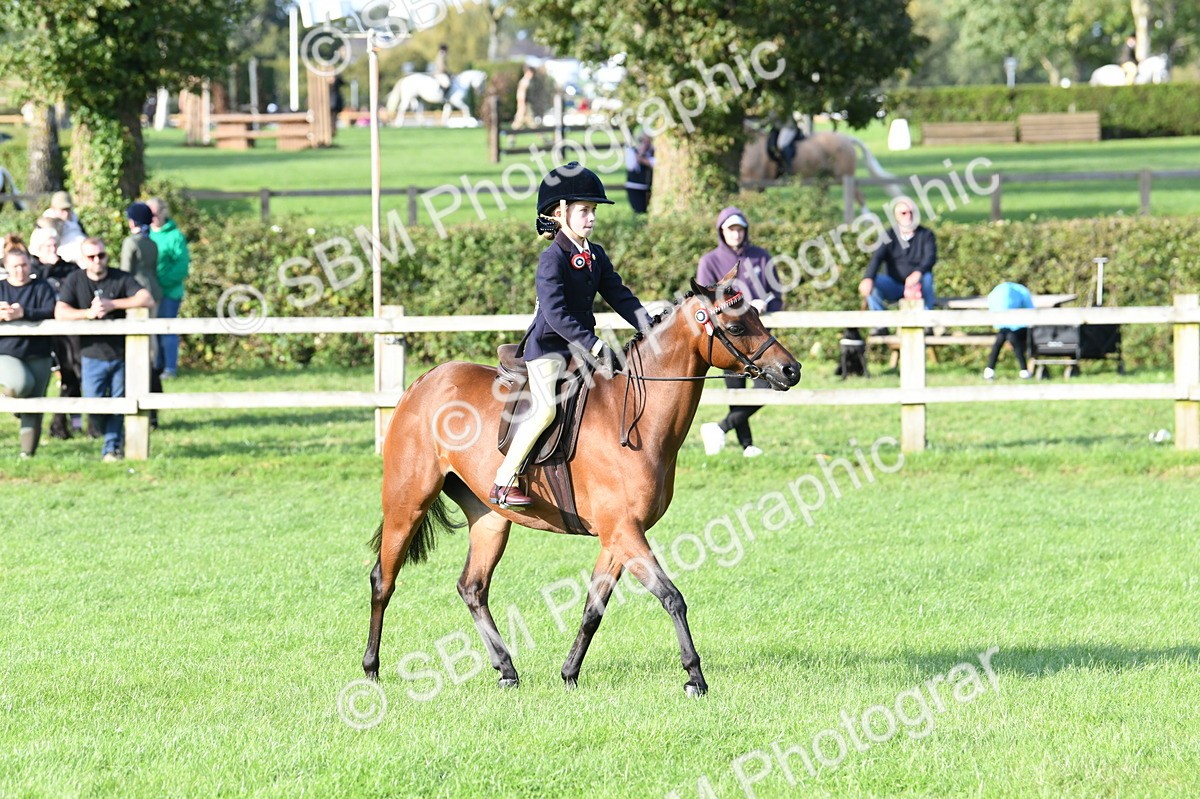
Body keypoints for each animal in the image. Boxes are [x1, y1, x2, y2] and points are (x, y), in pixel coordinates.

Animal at [362, 266, 802, 696]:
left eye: (757, 315)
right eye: (738, 326)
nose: (791, 370)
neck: (637, 414)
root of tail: (423, 382)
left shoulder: (618, 536)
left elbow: (594, 608)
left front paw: (569, 673)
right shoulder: (625, 531)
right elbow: (672, 597)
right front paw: (695, 676)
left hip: (489, 517)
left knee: (472, 587)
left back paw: (506, 670)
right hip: (407, 502)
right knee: (383, 579)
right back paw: (371, 670)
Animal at [740, 125, 900, 210]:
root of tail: (846, 139)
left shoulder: (751, 186)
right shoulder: (758, 187)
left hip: (842, 176)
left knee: (859, 197)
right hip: (823, 179)